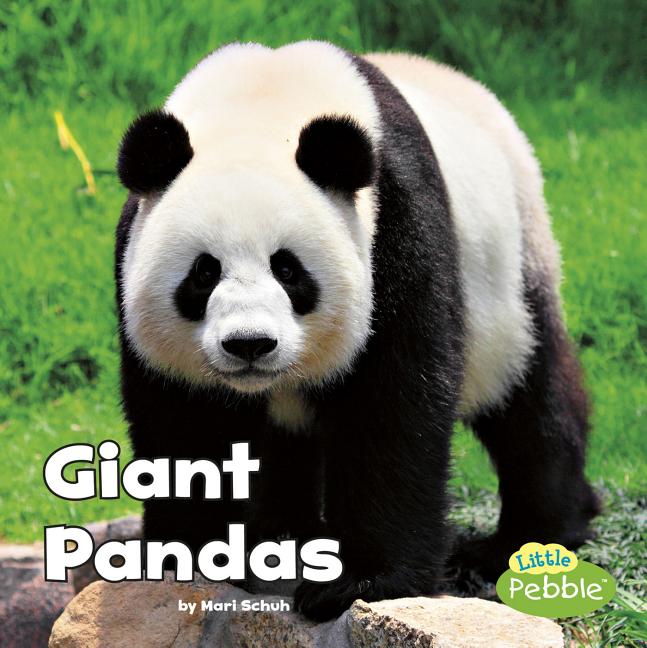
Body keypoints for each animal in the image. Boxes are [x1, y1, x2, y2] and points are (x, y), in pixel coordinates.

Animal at [115, 41, 600, 620]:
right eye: (203, 273)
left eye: (288, 269)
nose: (250, 344)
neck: (262, 105)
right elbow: (184, 424)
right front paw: (186, 558)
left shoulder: (396, 223)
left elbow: (393, 401)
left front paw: (359, 582)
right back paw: (284, 534)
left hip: (511, 268)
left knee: (529, 393)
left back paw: (529, 536)